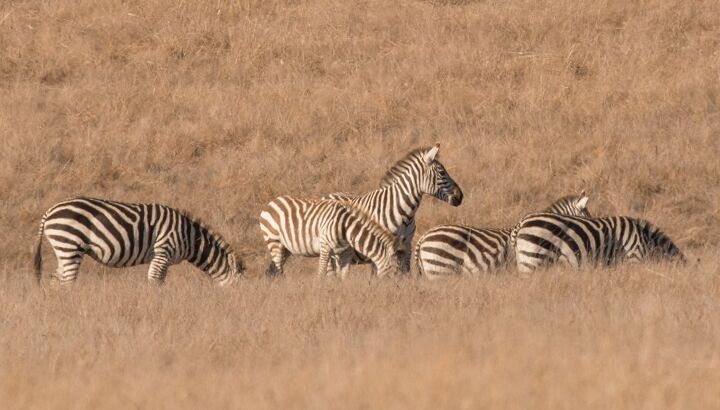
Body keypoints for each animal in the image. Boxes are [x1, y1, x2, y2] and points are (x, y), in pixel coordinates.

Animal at [33, 197, 245, 286]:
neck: (190, 237)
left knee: (56, 280)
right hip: (69, 245)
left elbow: (159, 282)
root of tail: (49, 211)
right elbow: (154, 281)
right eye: (238, 287)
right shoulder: (163, 252)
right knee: (67, 282)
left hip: (64, 249)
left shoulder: (163, 258)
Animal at [262, 144, 464, 276]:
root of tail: (326, 196)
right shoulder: (380, 245)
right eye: (442, 173)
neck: (404, 215)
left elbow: (405, 273)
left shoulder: (406, 245)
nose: (461, 196)